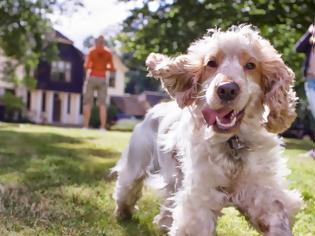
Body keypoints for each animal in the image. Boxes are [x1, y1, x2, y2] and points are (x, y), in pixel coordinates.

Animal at [112, 24, 302, 235]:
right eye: (211, 63)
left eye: (251, 65)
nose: (227, 89)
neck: (232, 142)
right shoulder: (200, 194)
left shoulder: (260, 188)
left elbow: (277, 214)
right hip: (136, 163)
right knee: (126, 188)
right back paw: (123, 213)